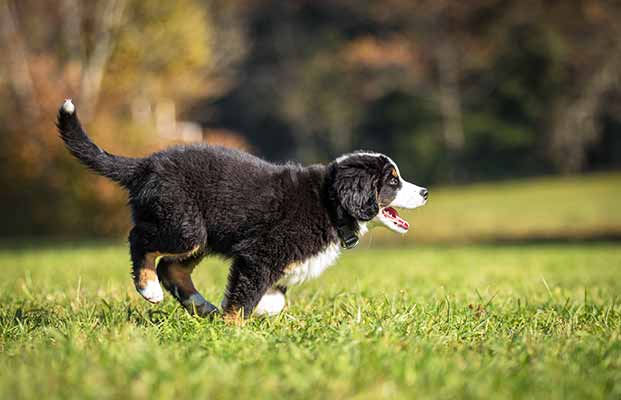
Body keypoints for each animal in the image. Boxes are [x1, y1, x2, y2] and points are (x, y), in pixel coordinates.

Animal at [57, 99, 426, 318]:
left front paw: (245, 313)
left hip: (202, 236)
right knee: (139, 240)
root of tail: (147, 164)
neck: (329, 203)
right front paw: (232, 329)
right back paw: (149, 290)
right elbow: (244, 297)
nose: (424, 192)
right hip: (183, 225)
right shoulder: (260, 255)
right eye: (393, 181)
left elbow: (273, 300)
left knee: (171, 268)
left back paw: (201, 306)